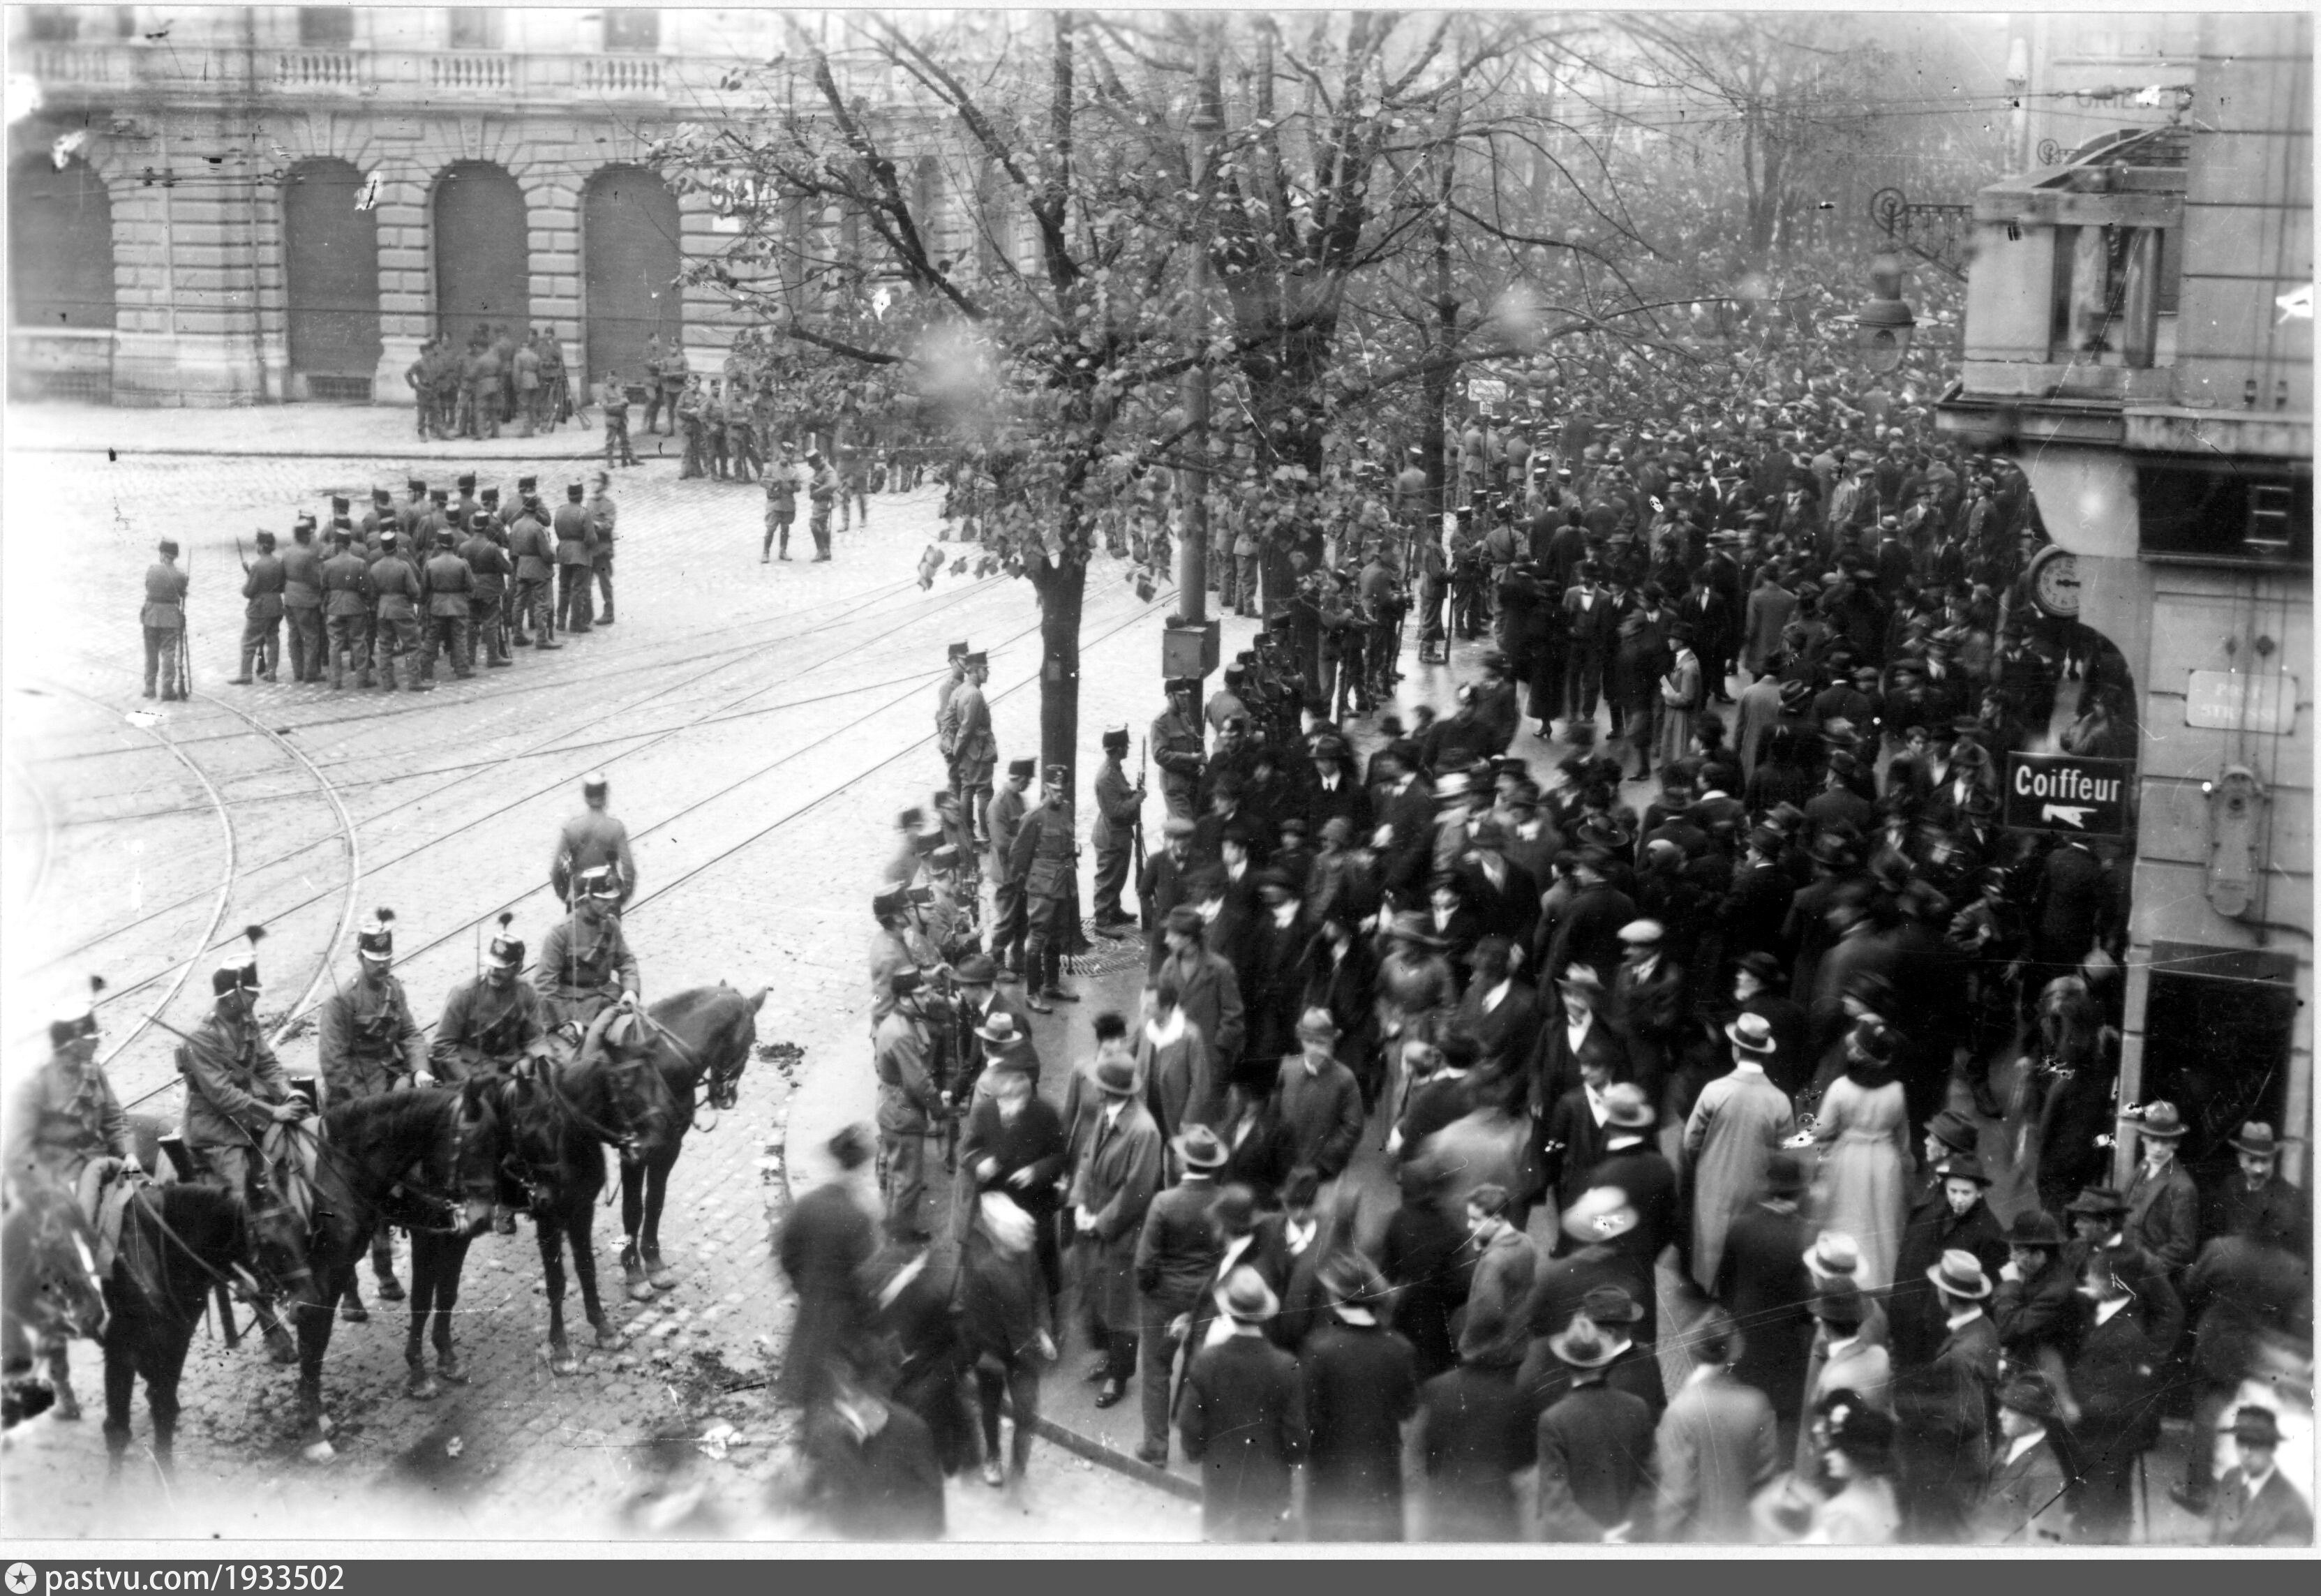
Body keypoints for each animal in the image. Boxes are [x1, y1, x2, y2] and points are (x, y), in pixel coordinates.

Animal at [613, 983, 766, 1299]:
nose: (728, 1096)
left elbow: (655, 1201)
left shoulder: (670, 1147)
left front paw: (654, 1263)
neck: (658, 1065)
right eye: (752, 1038)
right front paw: (634, 1273)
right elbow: (633, 1208)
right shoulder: (632, 1153)